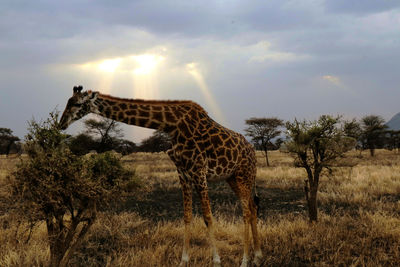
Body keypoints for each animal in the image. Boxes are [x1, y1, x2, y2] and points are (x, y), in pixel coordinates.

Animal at [59, 87, 262, 266]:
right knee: (252, 208)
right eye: (68, 101)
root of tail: (253, 151)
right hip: (233, 178)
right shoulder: (183, 172)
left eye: (77, 104)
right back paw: (257, 257)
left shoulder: (199, 171)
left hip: (244, 175)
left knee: (246, 212)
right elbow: (187, 216)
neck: (171, 125)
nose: (61, 124)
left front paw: (217, 261)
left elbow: (207, 217)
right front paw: (183, 261)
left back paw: (245, 261)